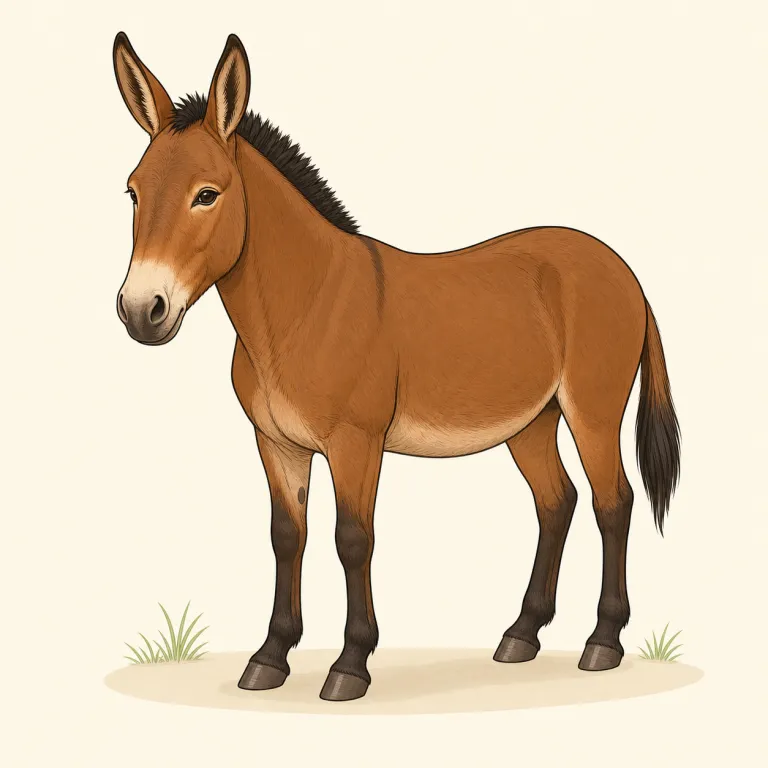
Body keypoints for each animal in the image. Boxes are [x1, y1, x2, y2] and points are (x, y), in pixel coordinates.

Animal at [112, 32, 681, 702]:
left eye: (206, 194)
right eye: (133, 192)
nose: (140, 311)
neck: (305, 307)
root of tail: (619, 265)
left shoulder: (355, 442)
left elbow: (352, 539)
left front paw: (350, 665)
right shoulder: (276, 443)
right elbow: (286, 537)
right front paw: (270, 657)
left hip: (592, 410)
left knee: (612, 503)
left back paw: (602, 643)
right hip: (531, 419)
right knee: (557, 501)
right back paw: (521, 635)